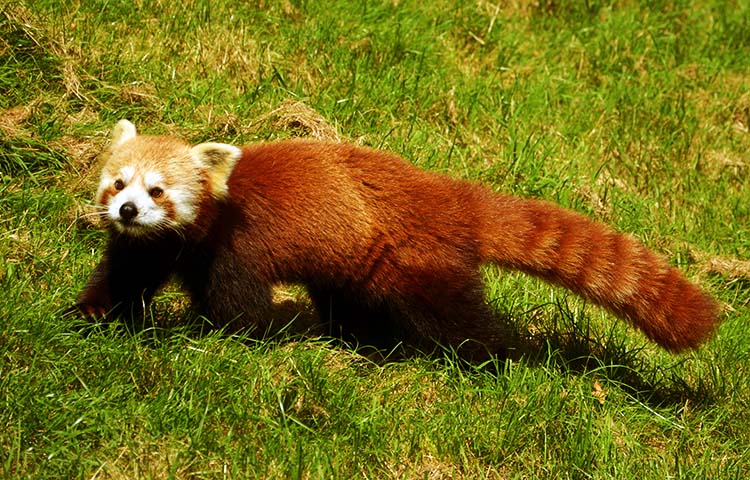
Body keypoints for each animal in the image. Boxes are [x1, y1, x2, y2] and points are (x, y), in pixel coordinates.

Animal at [75, 119, 724, 360]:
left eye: (158, 190)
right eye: (118, 182)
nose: (128, 209)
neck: (195, 234)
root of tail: (447, 194)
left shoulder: (237, 249)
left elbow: (244, 310)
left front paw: (219, 338)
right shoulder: (152, 246)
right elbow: (123, 278)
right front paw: (89, 317)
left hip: (416, 264)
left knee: (458, 319)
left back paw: (498, 359)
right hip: (357, 264)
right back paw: (364, 343)